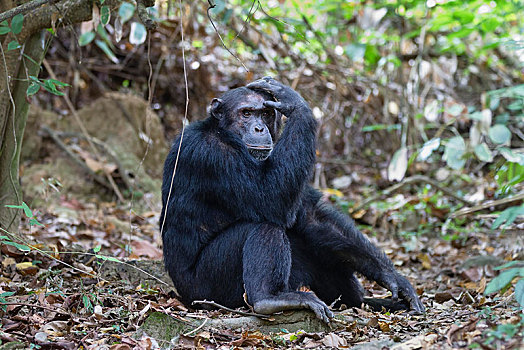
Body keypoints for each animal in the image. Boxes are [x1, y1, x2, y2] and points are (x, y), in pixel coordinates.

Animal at [161, 76, 426, 322]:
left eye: (266, 113)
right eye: (246, 113)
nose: (259, 128)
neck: (222, 132)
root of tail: (184, 296)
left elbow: (310, 214)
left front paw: (393, 278)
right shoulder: (212, 154)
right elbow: (270, 197)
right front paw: (294, 102)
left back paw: (365, 302)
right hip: (208, 288)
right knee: (263, 227)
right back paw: (270, 299)